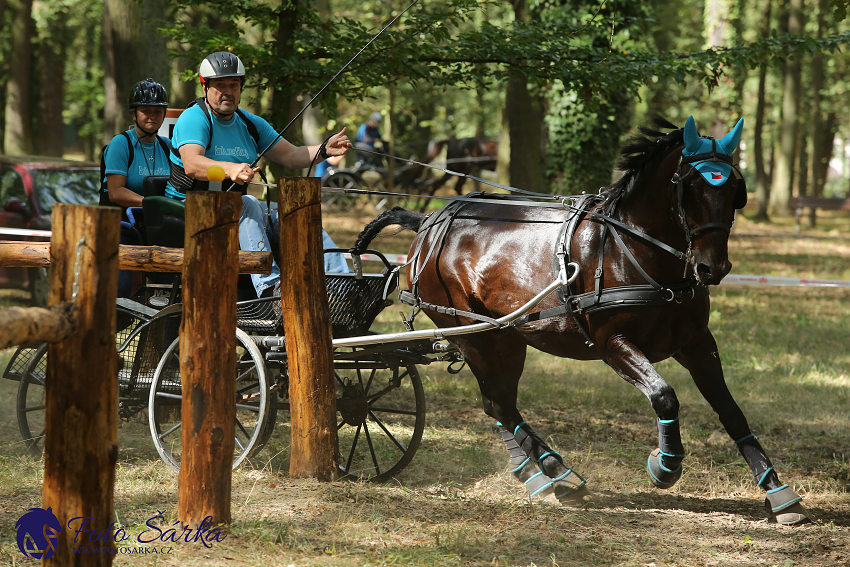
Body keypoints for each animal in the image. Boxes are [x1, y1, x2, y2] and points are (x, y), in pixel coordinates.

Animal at [352, 116, 808, 528]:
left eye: (733, 189)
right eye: (691, 187)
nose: (715, 267)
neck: (637, 253)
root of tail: (427, 222)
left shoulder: (697, 343)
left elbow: (730, 409)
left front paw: (777, 490)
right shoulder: (612, 343)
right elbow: (664, 395)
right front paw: (665, 465)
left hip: (505, 337)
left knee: (497, 401)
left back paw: (540, 474)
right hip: (472, 335)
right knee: (498, 401)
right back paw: (556, 472)